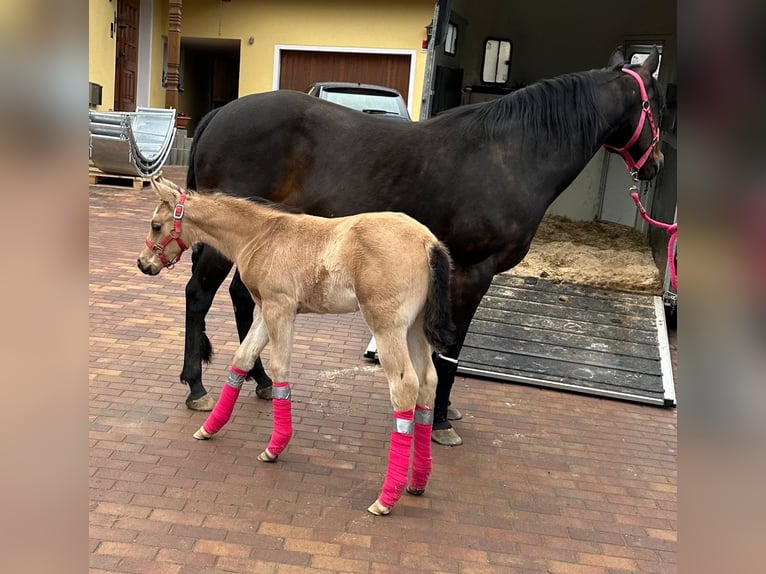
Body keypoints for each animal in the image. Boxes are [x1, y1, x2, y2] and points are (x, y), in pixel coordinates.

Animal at [137, 177, 454, 515]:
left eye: (156, 225)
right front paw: (209, 428)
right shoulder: (265, 310)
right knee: (428, 381)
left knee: (404, 386)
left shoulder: (280, 308)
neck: (261, 235)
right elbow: (243, 358)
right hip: (415, 327)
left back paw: (385, 498)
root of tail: (428, 243)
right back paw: (417, 482)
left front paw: (274, 447)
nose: (143, 263)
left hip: (387, 325)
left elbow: (280, 367)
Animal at [177, 47, 664, 446]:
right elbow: (450, 349)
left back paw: (258, 379)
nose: (656, 164)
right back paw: (197, 386)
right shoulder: (472, 272)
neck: (510, 156)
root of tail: (218, 116)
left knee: (242, 297)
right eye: (656, 105)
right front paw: (442, 420)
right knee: (199, 294)